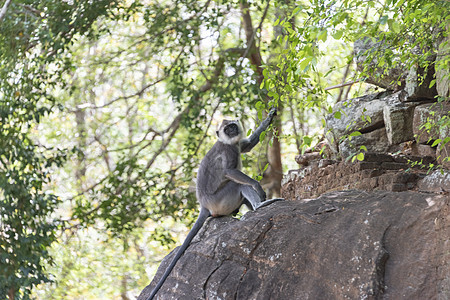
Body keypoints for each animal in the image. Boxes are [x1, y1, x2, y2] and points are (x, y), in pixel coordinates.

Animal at [147, 107, 282, 298]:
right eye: (227, 129)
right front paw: (256, 185)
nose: (232, 131)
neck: (227, 142)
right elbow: (230, 171)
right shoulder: (228, 150)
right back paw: (259, 206)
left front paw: (269, 117)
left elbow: (247, 145)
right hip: (220, 200)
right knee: (237, 184)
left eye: (232, 126)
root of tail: (204, 205)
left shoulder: (236, 145)